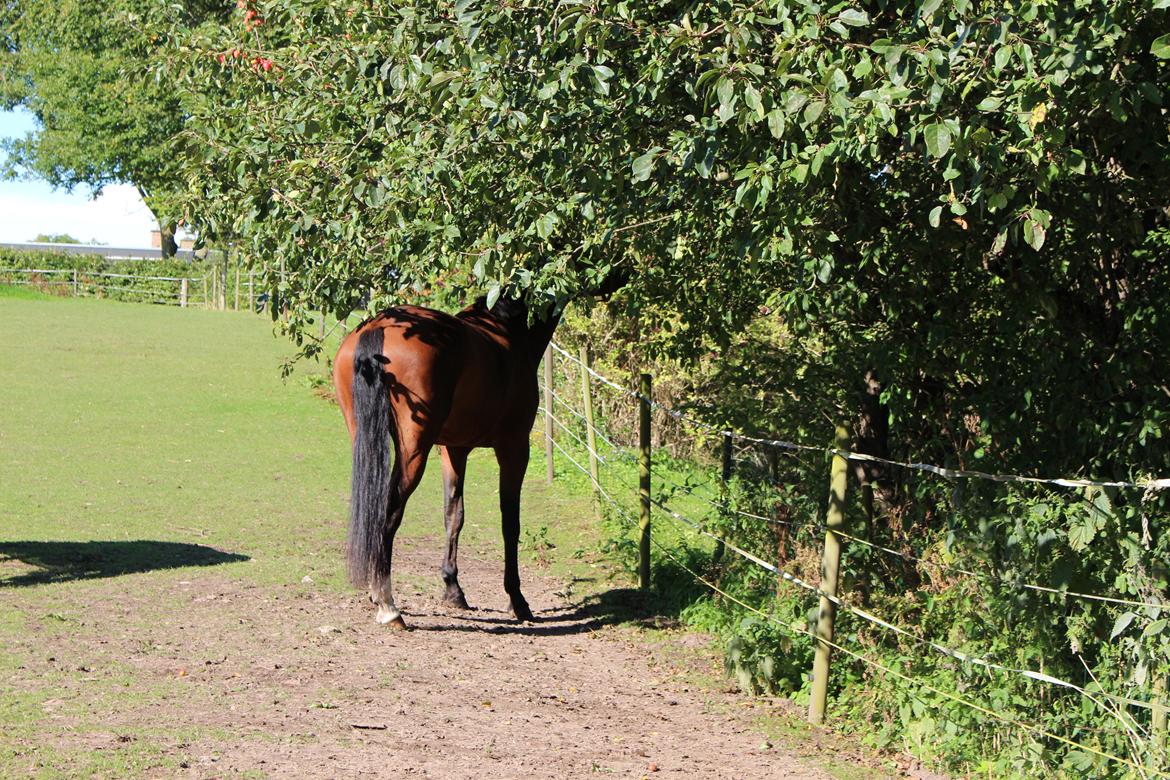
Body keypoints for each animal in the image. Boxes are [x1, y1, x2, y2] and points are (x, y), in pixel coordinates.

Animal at [332, 295, 559, 631]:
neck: (508, 330)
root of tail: (381, 326)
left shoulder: (454, 449)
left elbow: (454, 514)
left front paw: (453, 590)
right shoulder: (515, 448)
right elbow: (510, 523)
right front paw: (517, 600)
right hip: (413, 452)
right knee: (389, 513)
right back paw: (388, 605)